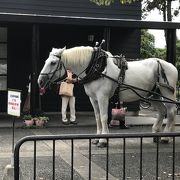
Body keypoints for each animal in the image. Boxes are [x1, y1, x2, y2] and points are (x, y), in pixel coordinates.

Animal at [37, 45, 178, 147]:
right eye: (46, 61)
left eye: (53, 63)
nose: (40, 81)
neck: (96, 68)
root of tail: (171, 66)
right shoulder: (93, 99)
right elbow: (97, 117)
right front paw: (97, 138)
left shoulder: (102, 97)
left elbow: (104, 117)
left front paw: (103, 140)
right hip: (152, 95)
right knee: (162, 111)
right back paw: (156, 134)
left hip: (166, 93)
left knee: (171, 112)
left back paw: (165, 137)